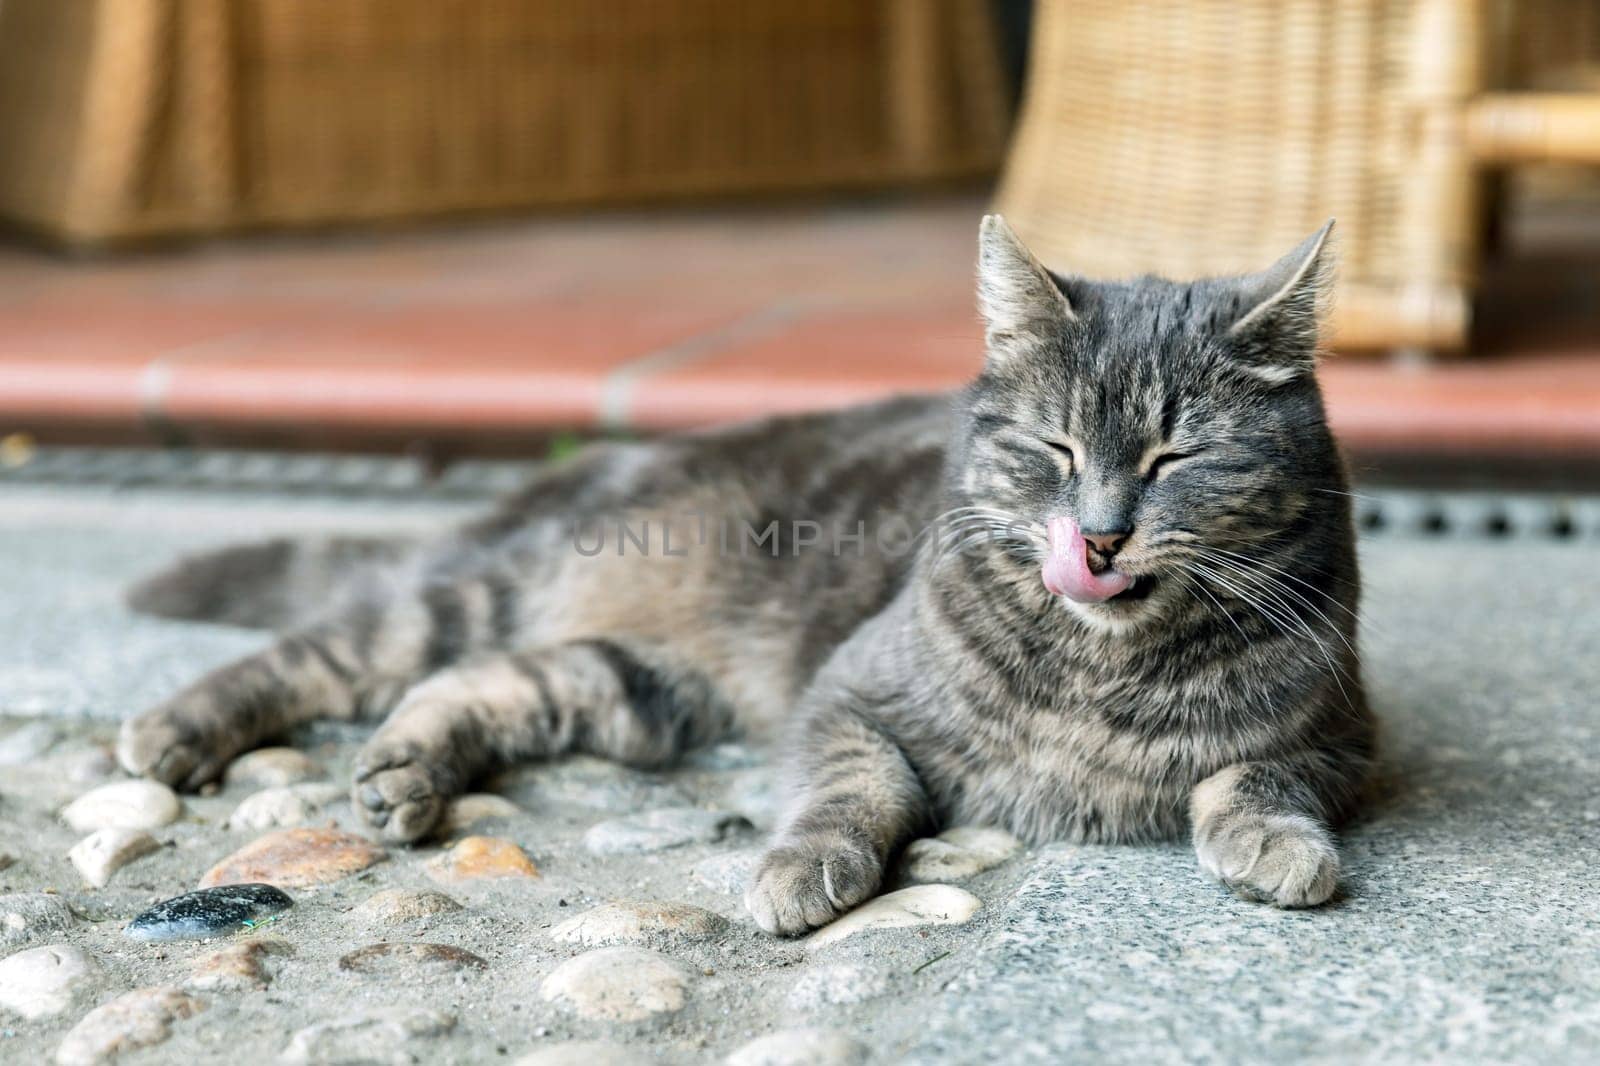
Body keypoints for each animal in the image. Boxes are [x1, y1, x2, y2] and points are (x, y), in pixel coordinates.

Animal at [121, 217, 1376, 928]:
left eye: (1176, 457)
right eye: (1055, 449)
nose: (1100, 535)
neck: (1101, 673)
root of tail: (627, 453)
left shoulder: (1343, 741)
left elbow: (1258, 773)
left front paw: (1272, 842)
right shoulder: (845, 697)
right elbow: (854, 788)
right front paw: (804, 866)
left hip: (637, 692)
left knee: (475, 682)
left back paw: (405, 773)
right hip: (493, 597)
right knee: (340, 648)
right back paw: (178, 727)